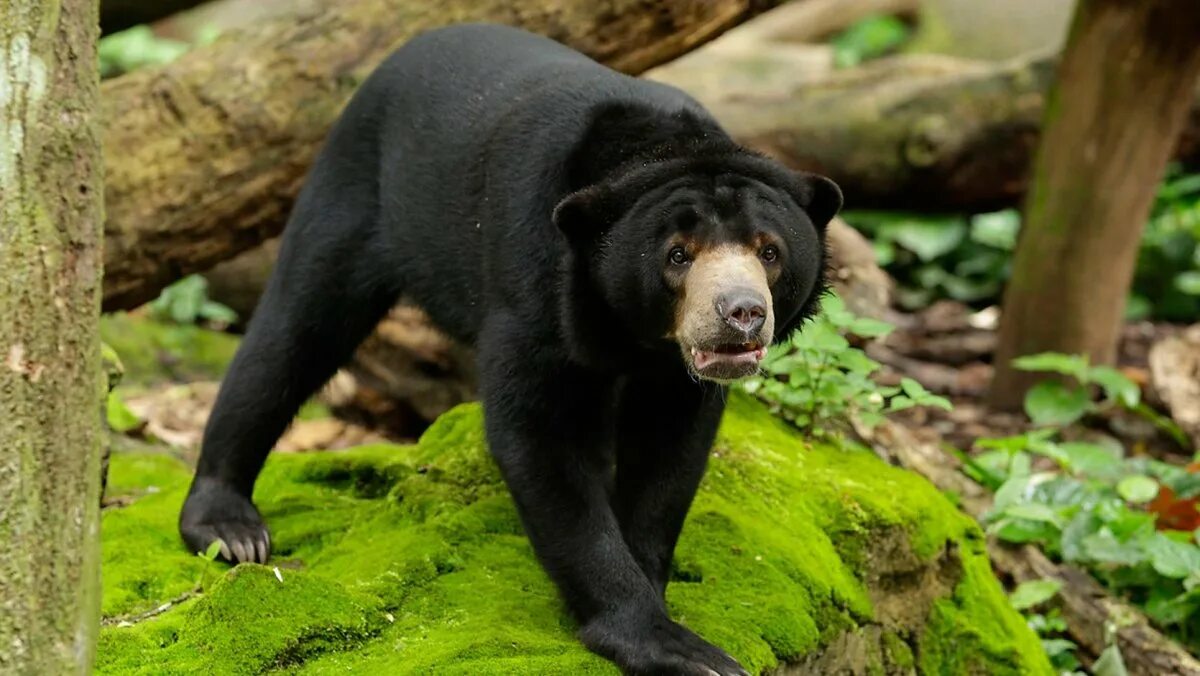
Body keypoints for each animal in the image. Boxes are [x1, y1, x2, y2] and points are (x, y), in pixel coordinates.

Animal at [180, 22, 844, 676]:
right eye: (677, 255)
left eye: (769, 250)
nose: (741, 315)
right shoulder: (534, 277)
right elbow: (538, 436)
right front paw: (674, 646)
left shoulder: (670, 370)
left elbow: (668, 449)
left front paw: (653, 579)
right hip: (356, 191)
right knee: (291, 337)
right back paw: (231, 529)